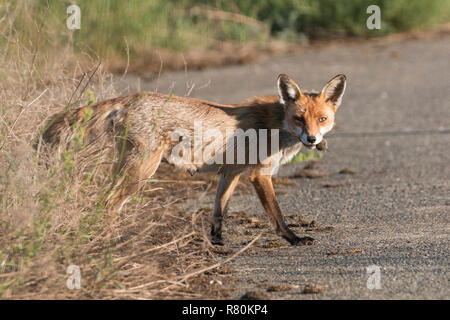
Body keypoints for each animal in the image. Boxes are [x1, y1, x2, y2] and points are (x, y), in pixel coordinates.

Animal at [41, 74, 344, 246]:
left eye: (322, 119)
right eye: (299, 118)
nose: (312, 140)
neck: (276, 125)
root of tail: (130, 98)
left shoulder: (231, 172)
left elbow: (219, 211)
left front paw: (217, 242)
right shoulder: (259, 175)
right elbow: (278, 215)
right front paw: (294, 239)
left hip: (128, 168)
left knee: (104, 200)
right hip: (141, 171)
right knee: (109, 203)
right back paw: (114, 242)